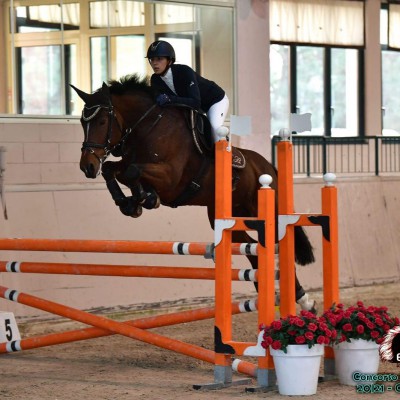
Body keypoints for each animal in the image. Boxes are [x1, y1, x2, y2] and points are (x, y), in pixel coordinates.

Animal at [71, 75, 316, 312]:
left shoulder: (170, 178)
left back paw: (304, 300)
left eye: (102, 121)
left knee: (280, 245)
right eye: (82, 122)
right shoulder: (130, 164)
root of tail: (268, 167)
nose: (87, 166)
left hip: (266, 213)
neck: (148, 128)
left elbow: (132, 172)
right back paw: (265, 289)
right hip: (225, 218)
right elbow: (114, 170)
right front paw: (129, 202)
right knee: (251, 249)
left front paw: (145, 198)